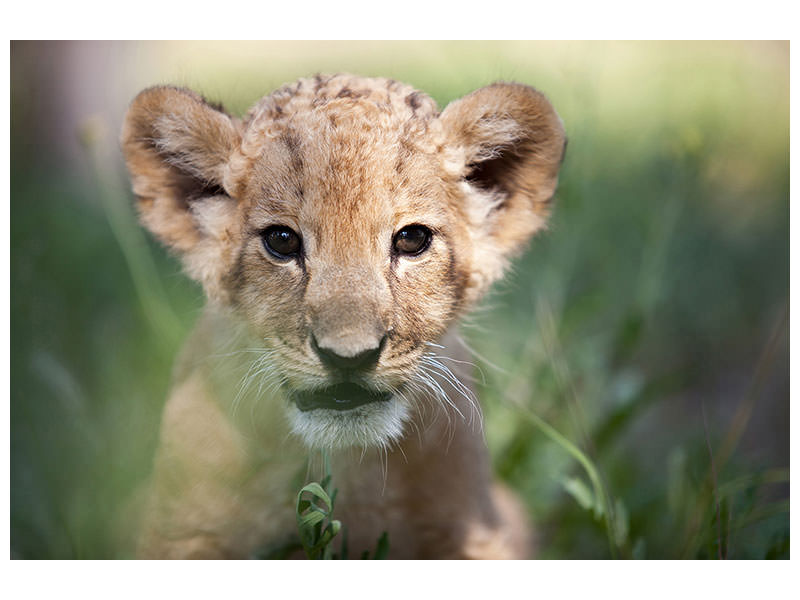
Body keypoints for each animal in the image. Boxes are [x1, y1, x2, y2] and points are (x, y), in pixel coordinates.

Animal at [120, 73, 566, 559]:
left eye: (412, 239)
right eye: (281, 240)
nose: (349, 357)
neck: (348, 468)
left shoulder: (475, 530)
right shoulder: (181, 535)